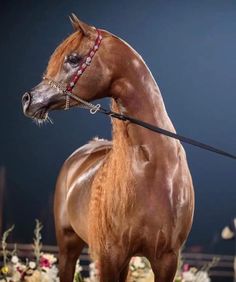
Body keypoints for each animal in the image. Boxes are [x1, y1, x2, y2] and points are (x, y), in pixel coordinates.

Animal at [21, 14, 195, 282]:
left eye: (73, 58)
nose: (28, 100)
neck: (154, 169)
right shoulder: (109, 256)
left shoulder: (167, 259)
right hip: (69, 245)